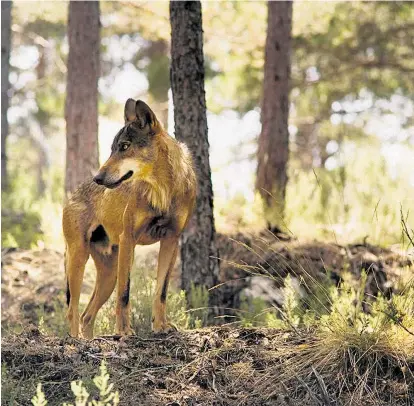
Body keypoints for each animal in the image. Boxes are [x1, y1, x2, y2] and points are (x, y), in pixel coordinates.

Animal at [62, 99, 196, 340]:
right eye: (112, 149)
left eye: (124, 147)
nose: (98, 179)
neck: (163, 191)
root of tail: (72, 194)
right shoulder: (129, 239)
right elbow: (124, 294)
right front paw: (124, 331)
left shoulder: (171, 240)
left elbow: (161, 292)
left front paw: (160, 326)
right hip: (79, 260)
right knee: (73, 310)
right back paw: (76, 342)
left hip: (109, 275)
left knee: (87, 315)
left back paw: (89, 340)